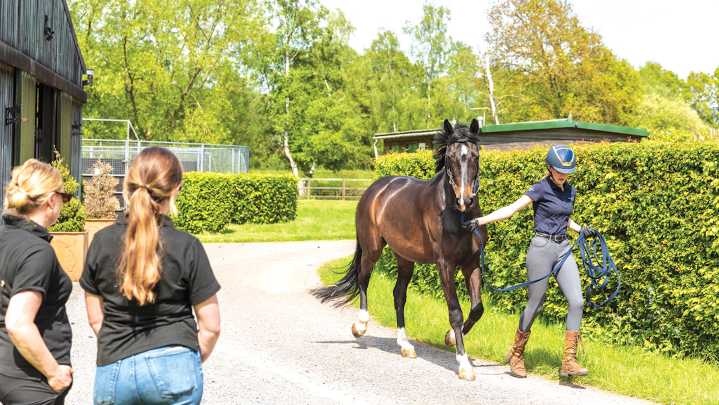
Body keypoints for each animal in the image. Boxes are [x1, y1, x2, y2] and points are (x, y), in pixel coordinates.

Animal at [312, 119, 489, 380]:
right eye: (450, 157)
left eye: (475, 156)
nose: (464, 200)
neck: (459, 217)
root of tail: (375, 188)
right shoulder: (445, 265)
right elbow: (455, 311)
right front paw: (463, 364)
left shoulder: (471, 263)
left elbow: (477, 309)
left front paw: (448, 338)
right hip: (372, 249)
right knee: (363, 279)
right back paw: (360, 326)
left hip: (405, 258)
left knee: (398, 295)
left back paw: (405, 345)